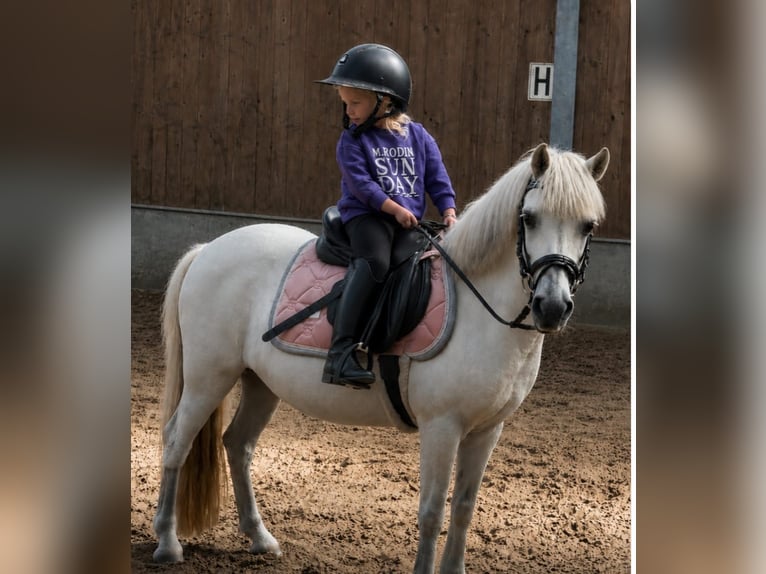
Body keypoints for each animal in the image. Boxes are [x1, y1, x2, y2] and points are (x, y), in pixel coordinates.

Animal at [151, 142, 609, 573]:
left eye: (588, 225)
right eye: (529, 218)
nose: (552, 307)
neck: (479, 309)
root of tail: (208, 249)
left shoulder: (486, 430)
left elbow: (463, 509)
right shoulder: (442, 427)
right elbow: (432, 513)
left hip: (259, 382)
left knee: (238, 444)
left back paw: (260, 538)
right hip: (209, 377)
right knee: (176, 441)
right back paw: (167, 543)